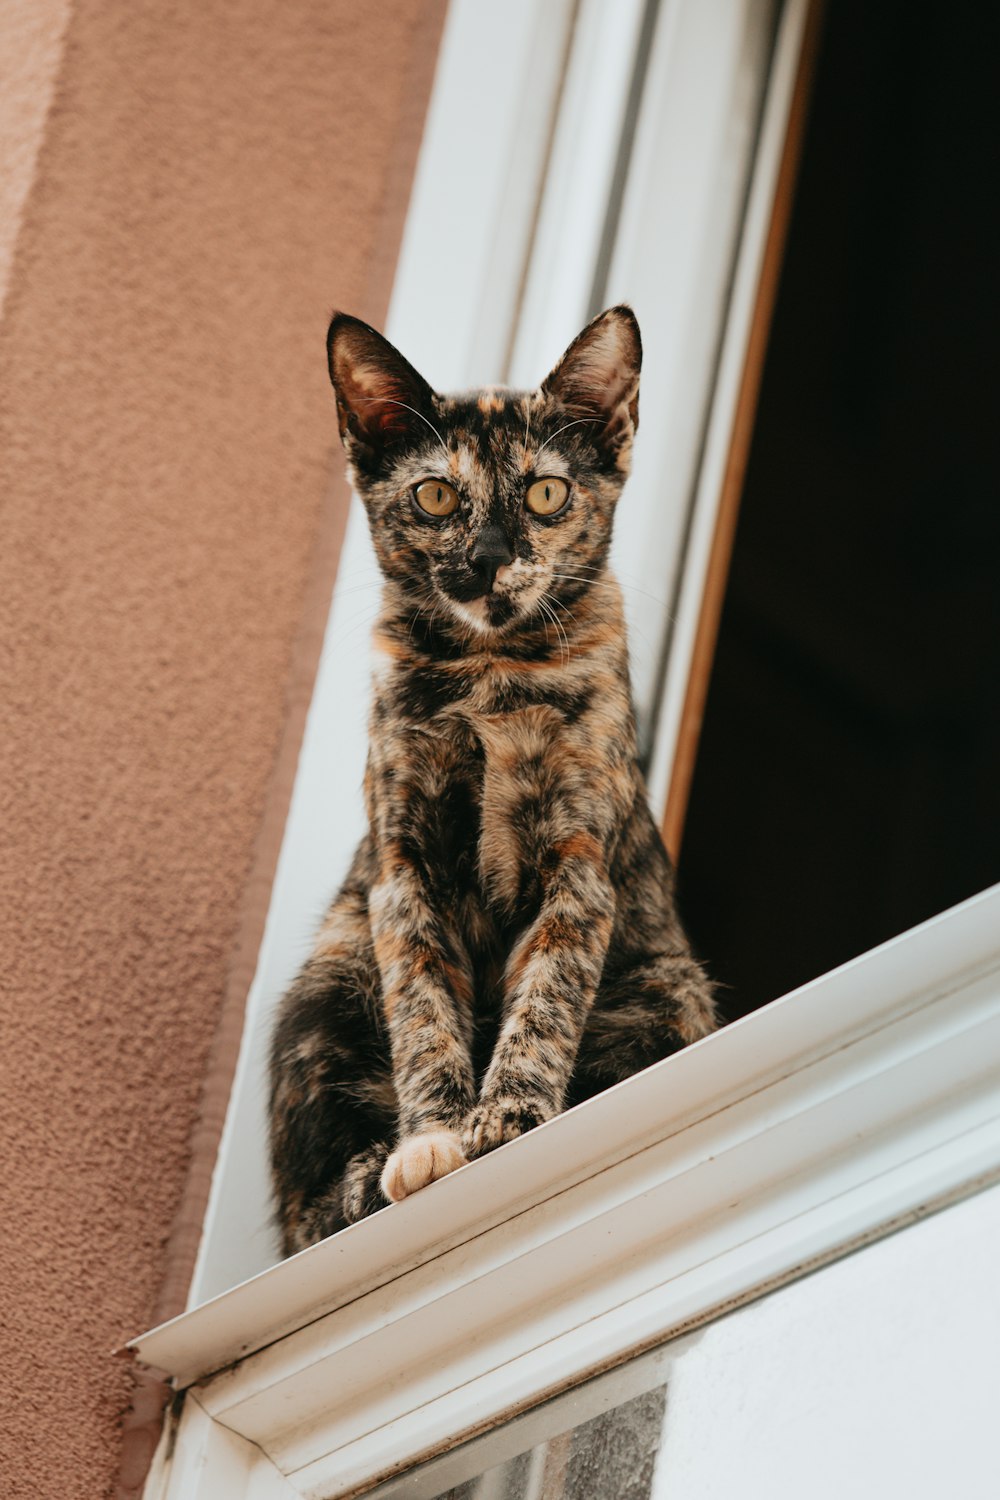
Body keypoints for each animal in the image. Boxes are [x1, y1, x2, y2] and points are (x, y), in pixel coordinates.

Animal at [268, 304, 719, 1254]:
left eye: (546, 494)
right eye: (436, 496)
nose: (487, 558)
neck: (491, 676)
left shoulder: (578, 866)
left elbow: (545, 998)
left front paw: (509, 1119)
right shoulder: (403, 874)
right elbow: (424, 1012)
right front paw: (434, 1141)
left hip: (672, 983)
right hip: (329, 977)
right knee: (301, 1223)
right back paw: (364, 1182)